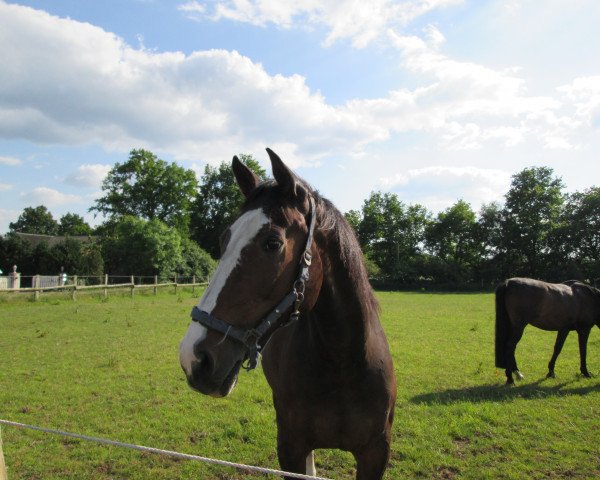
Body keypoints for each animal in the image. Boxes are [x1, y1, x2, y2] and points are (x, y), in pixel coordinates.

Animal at [178, 148, 396, 478]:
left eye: (273, 243)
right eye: (224, 239)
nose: (194, 357)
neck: (342, 363)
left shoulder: (375, 454)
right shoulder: (291, 448)